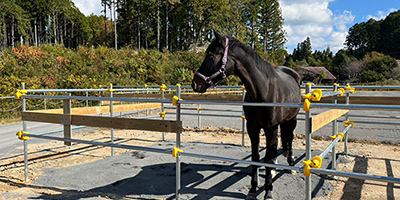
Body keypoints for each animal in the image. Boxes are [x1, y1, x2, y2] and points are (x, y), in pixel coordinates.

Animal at [191, 32, 300, 199]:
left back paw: (291, 164)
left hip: (291, 120)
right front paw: (253, 190)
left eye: (210, 56)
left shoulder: (270, 128)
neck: (263, 90)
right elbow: (256, 158)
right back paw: (275, 169)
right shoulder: (253, 128)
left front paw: (268, 192)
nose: (195, 84)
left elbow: (267, 158)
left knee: (290, 139)